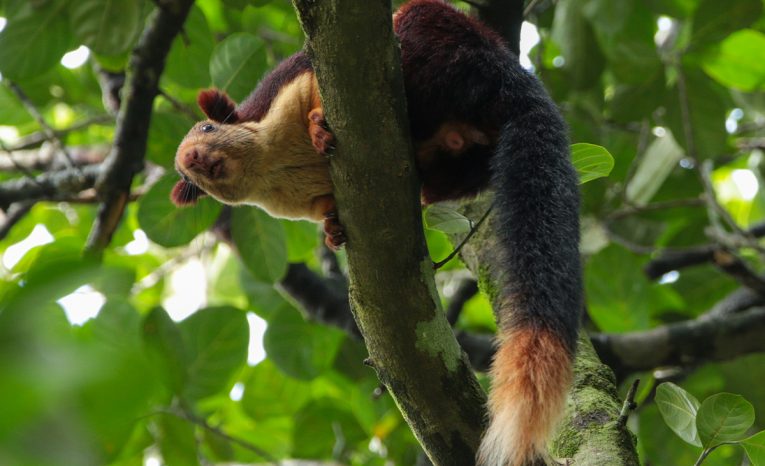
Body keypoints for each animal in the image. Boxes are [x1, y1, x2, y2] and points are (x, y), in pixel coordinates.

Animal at [172, 1, 580, 464]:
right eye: (186, 178)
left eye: (207, 128)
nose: (190, 159)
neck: (269, 165)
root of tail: (512, 81)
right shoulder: (296, 201)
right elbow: (324, 210)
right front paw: (332, 230)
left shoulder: (286, 87)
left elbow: (313, 85)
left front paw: (316, 123)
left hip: (433, 45)